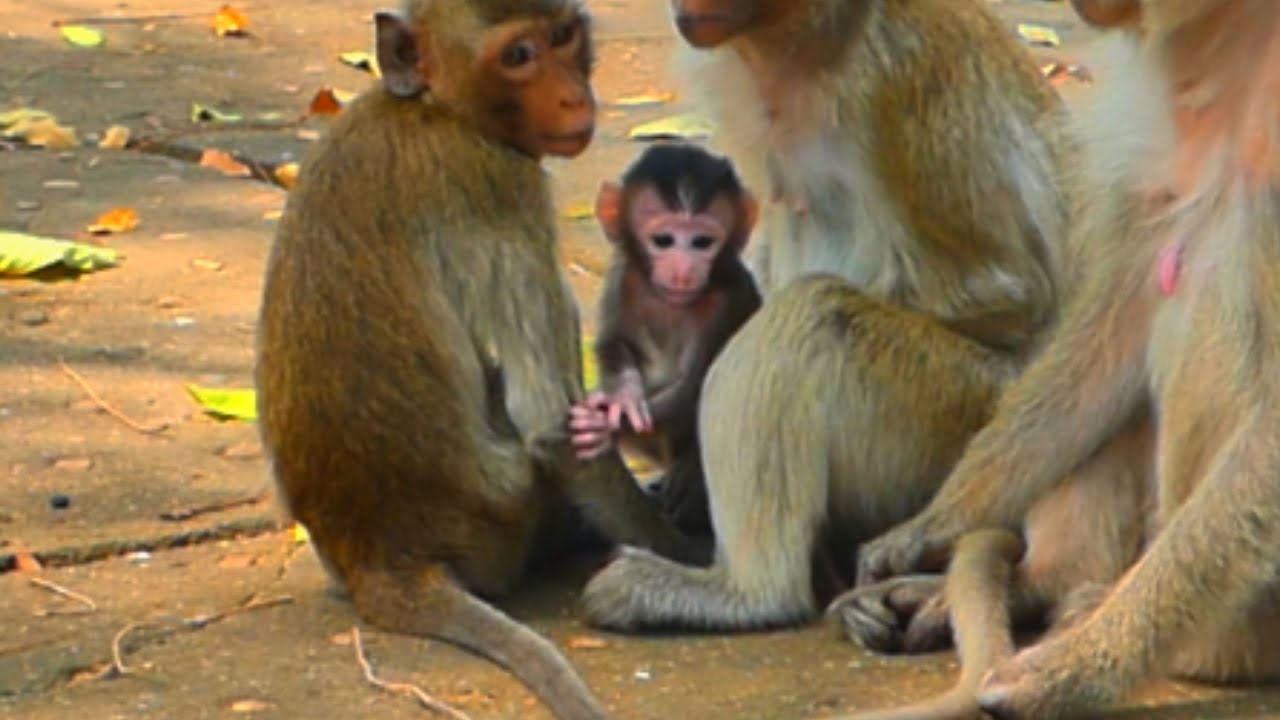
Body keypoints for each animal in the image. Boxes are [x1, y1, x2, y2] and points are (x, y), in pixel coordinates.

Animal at [255, 2, 698, 718]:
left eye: (562, 37)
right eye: (517, 57)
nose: (573, 96)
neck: (437, 109)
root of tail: (380, 556)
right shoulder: (502, 183)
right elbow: (549, 420)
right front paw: (684, 552)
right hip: (499, 529)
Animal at [568, 143, 761, 535]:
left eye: (702, 242)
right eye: (663, 241)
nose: (684, 269)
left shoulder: (728, 300)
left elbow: (696, 390)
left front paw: (607, 425)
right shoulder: (624, 279)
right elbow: (613, 343)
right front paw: (624, 398)